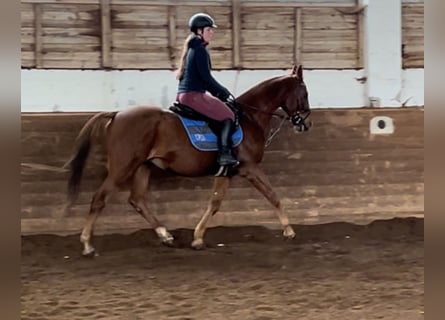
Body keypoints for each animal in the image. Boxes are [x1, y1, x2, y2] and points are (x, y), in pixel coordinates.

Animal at [66, 63, 310, 256]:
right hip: (122, 167)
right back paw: (87, 245)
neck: (249, 118)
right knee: (99, 198)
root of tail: (116, 114)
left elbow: (215, 203)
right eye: (305, 93)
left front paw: (198, 238)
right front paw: (289, 231)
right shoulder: (250, 168)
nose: (306, 124)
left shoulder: (227, 172)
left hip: (143, 166)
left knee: (137, 200)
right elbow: (273, 195)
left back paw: (165, 235)